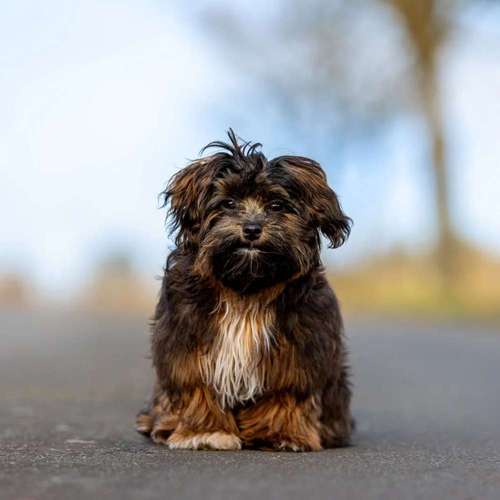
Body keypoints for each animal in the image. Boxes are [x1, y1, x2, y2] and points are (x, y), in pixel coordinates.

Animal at [137, 131, 354, 452]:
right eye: (228, 203)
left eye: (276, 205)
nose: (252, 229)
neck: (247, 288)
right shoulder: (188, 343)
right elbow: (198, 387)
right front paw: (206, 432)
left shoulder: (297, 348)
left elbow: (285, 392)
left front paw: (281, 433)